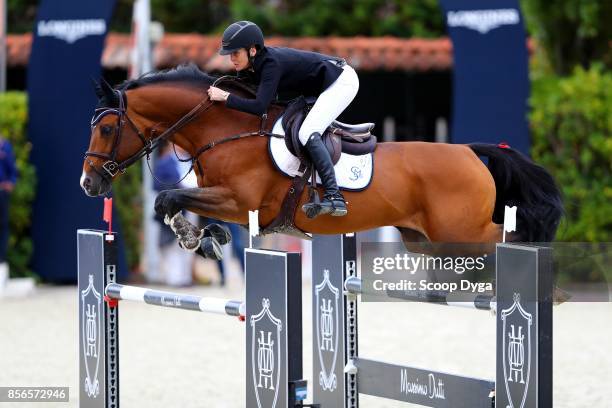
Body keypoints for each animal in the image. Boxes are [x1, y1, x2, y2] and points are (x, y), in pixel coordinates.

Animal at [82, 65, 564, 260]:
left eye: (105, 129)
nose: (89, 184)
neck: (224, 130)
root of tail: (469, 151)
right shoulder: (228, 202)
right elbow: (174, 202)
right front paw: (205, 239)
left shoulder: (240, 201)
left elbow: (168, 198)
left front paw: (192, 236)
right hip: (424, 239)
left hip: (458, 232)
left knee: (509, 236)